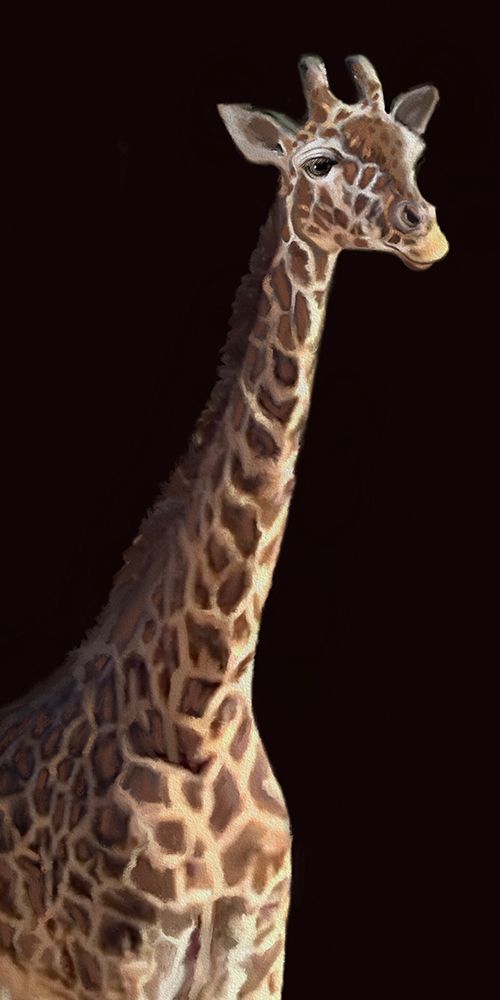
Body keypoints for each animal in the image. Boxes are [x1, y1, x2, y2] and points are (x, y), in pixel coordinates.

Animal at [0, 54, 448, 999]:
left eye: (414, 150)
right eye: (318, 161)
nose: (423, 230)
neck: (202, 717)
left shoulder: (258, 958)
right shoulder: (120, 965)